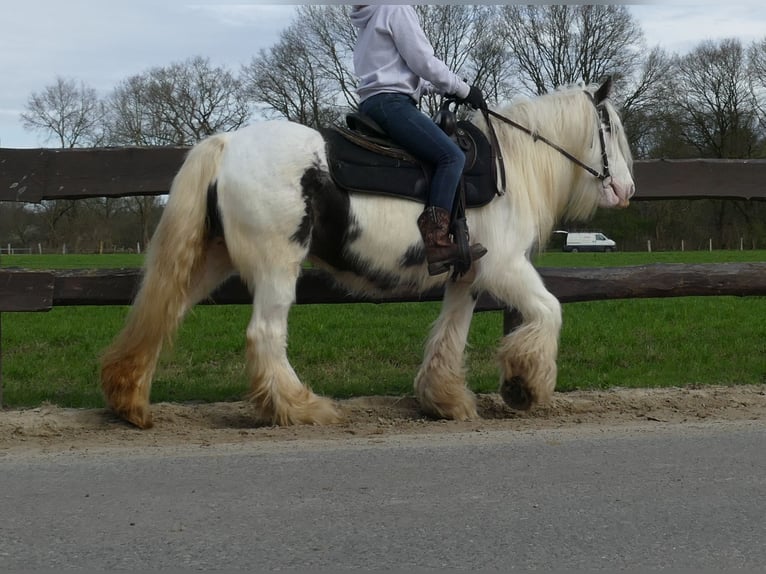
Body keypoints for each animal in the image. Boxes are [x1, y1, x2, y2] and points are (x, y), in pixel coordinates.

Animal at [100, 79, 636, 430]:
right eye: (609, 127)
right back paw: (299, 407)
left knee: (161, 313)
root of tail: (228, 144)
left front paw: (444, 400)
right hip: (277, 266)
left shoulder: (467, 275)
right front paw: (525, 386)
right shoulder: (505, 267)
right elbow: (549, 310)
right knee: (264, 334)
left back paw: (130, 401)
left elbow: (451, 334)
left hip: (211, 261)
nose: (627, 190)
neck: (511, 163)